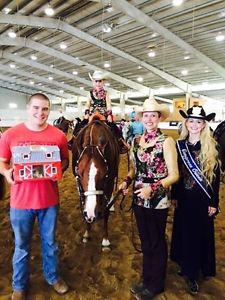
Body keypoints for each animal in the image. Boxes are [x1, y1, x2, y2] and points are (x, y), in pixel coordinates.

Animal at [72, 116, 119, 250]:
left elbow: (106, 209)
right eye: (79, 174)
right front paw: (87, 233)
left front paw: (105, 240)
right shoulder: (79, 186)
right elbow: (83, 205)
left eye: (104, 175)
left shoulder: (109, 181)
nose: (92, 213)